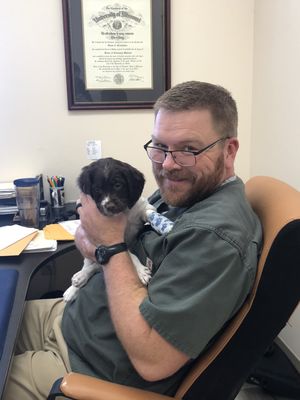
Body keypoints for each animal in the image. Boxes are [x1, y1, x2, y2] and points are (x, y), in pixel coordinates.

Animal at [64, 158, 156, 302]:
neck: (124, 213)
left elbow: (149, 212)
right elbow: (130, 254)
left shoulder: (142, 207)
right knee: (90, 265)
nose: (109, 206)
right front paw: (141, 270)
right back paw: (76, 282)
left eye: (118, 185)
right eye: (97, 189)